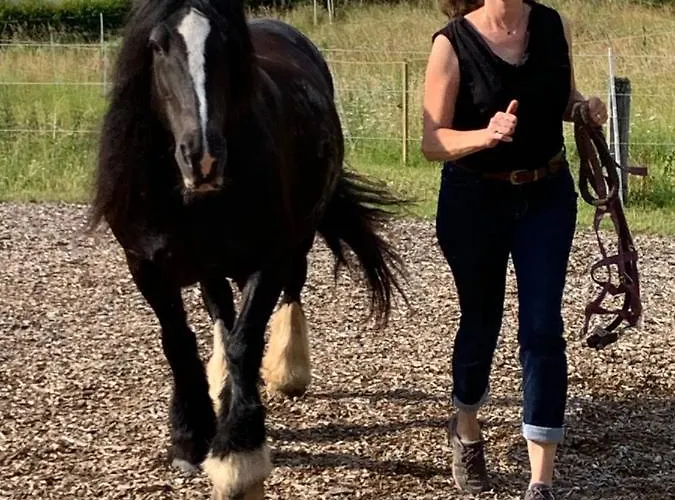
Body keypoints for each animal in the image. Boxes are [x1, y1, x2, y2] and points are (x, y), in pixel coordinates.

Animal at [88, 0, 408, 498]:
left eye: (227, 44)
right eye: (157, 45)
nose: (202, 158)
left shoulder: (270, 259)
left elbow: (246, 340)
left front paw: (238, 451)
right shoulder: (145, 266)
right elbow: (179, 342)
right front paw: (190, 435)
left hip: (296, 241)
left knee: (289, 294)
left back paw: (287, 370)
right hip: (209, 264)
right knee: (219, 306)